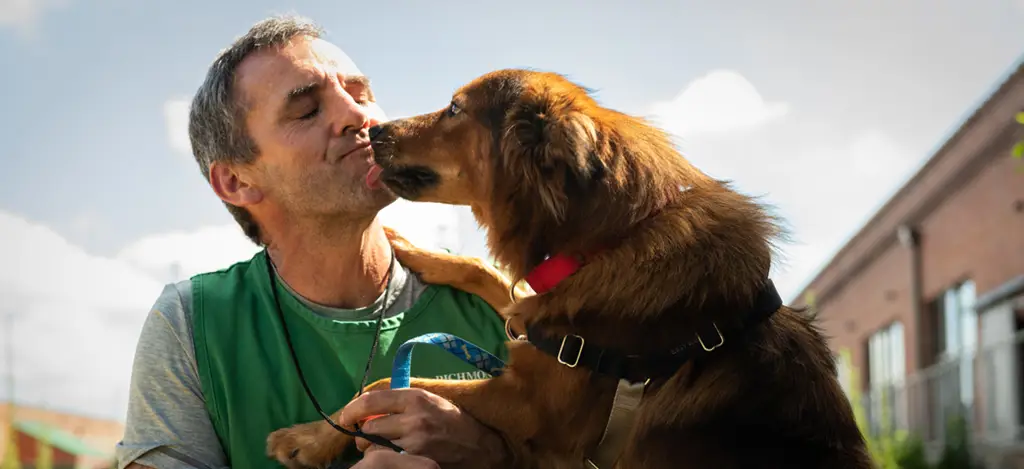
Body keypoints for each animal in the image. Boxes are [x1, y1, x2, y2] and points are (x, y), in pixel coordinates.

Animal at [264, 67, 872, 466]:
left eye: (456, 108)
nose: (371, 131)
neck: (607, 241)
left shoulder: (535, 408)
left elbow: (378, 390)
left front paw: (306, 439)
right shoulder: (536, 313)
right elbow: (495, 280)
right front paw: (421, 253)